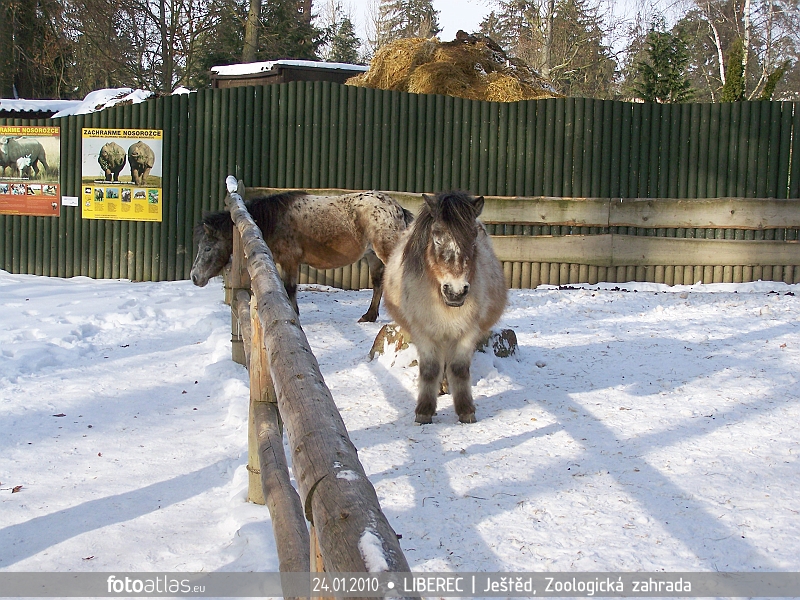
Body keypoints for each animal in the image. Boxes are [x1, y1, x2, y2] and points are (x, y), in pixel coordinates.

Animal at [189, 192, 412, 324]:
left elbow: (290, 289)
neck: (274, 219)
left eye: (207, 248)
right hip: (373, 256)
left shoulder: (290, 261)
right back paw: (369, 316)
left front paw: (294, 316)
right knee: (378, 284)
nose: (194, 277)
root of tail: (398, 209)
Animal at [382, 191, 506, 422]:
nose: (456, 291)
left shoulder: (467, 331)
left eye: (473, 238)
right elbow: (430, 369)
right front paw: (424, 412)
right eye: (437, 237)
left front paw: (466, 411)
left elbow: (458, 369)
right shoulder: (423, 332)